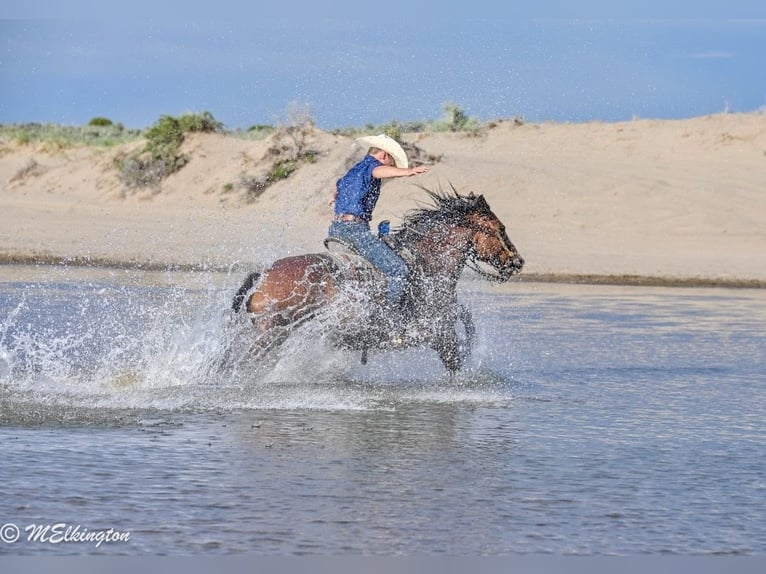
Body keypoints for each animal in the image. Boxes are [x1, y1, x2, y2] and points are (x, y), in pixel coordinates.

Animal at [230, 186, 524, 372]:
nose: (518, 261)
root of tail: (263, 275)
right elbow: (454, 366)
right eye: (501, 228)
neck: (427, 265)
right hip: (270, 335)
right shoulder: (440, 333)